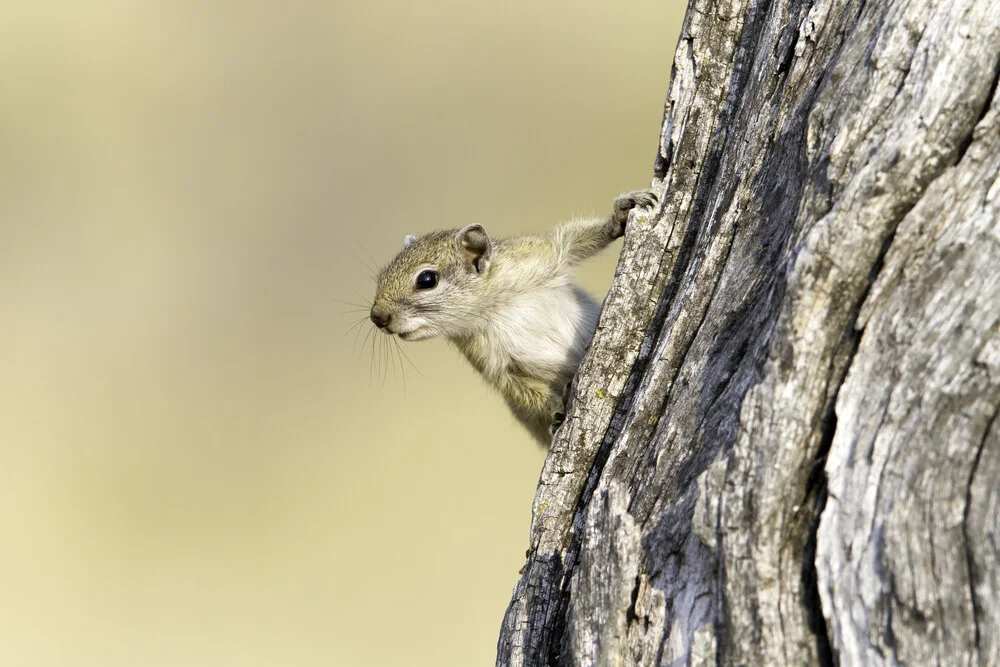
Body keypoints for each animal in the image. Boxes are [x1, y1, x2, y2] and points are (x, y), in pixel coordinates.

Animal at [372, 190, 660, 446]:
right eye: (381, 275)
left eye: (427, 280)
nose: (377, 317)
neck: (493, 305)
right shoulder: (492, 362)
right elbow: (520, 389)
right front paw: (558, 407)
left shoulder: (540, 256)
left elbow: (571, 242)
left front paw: (622, 212)